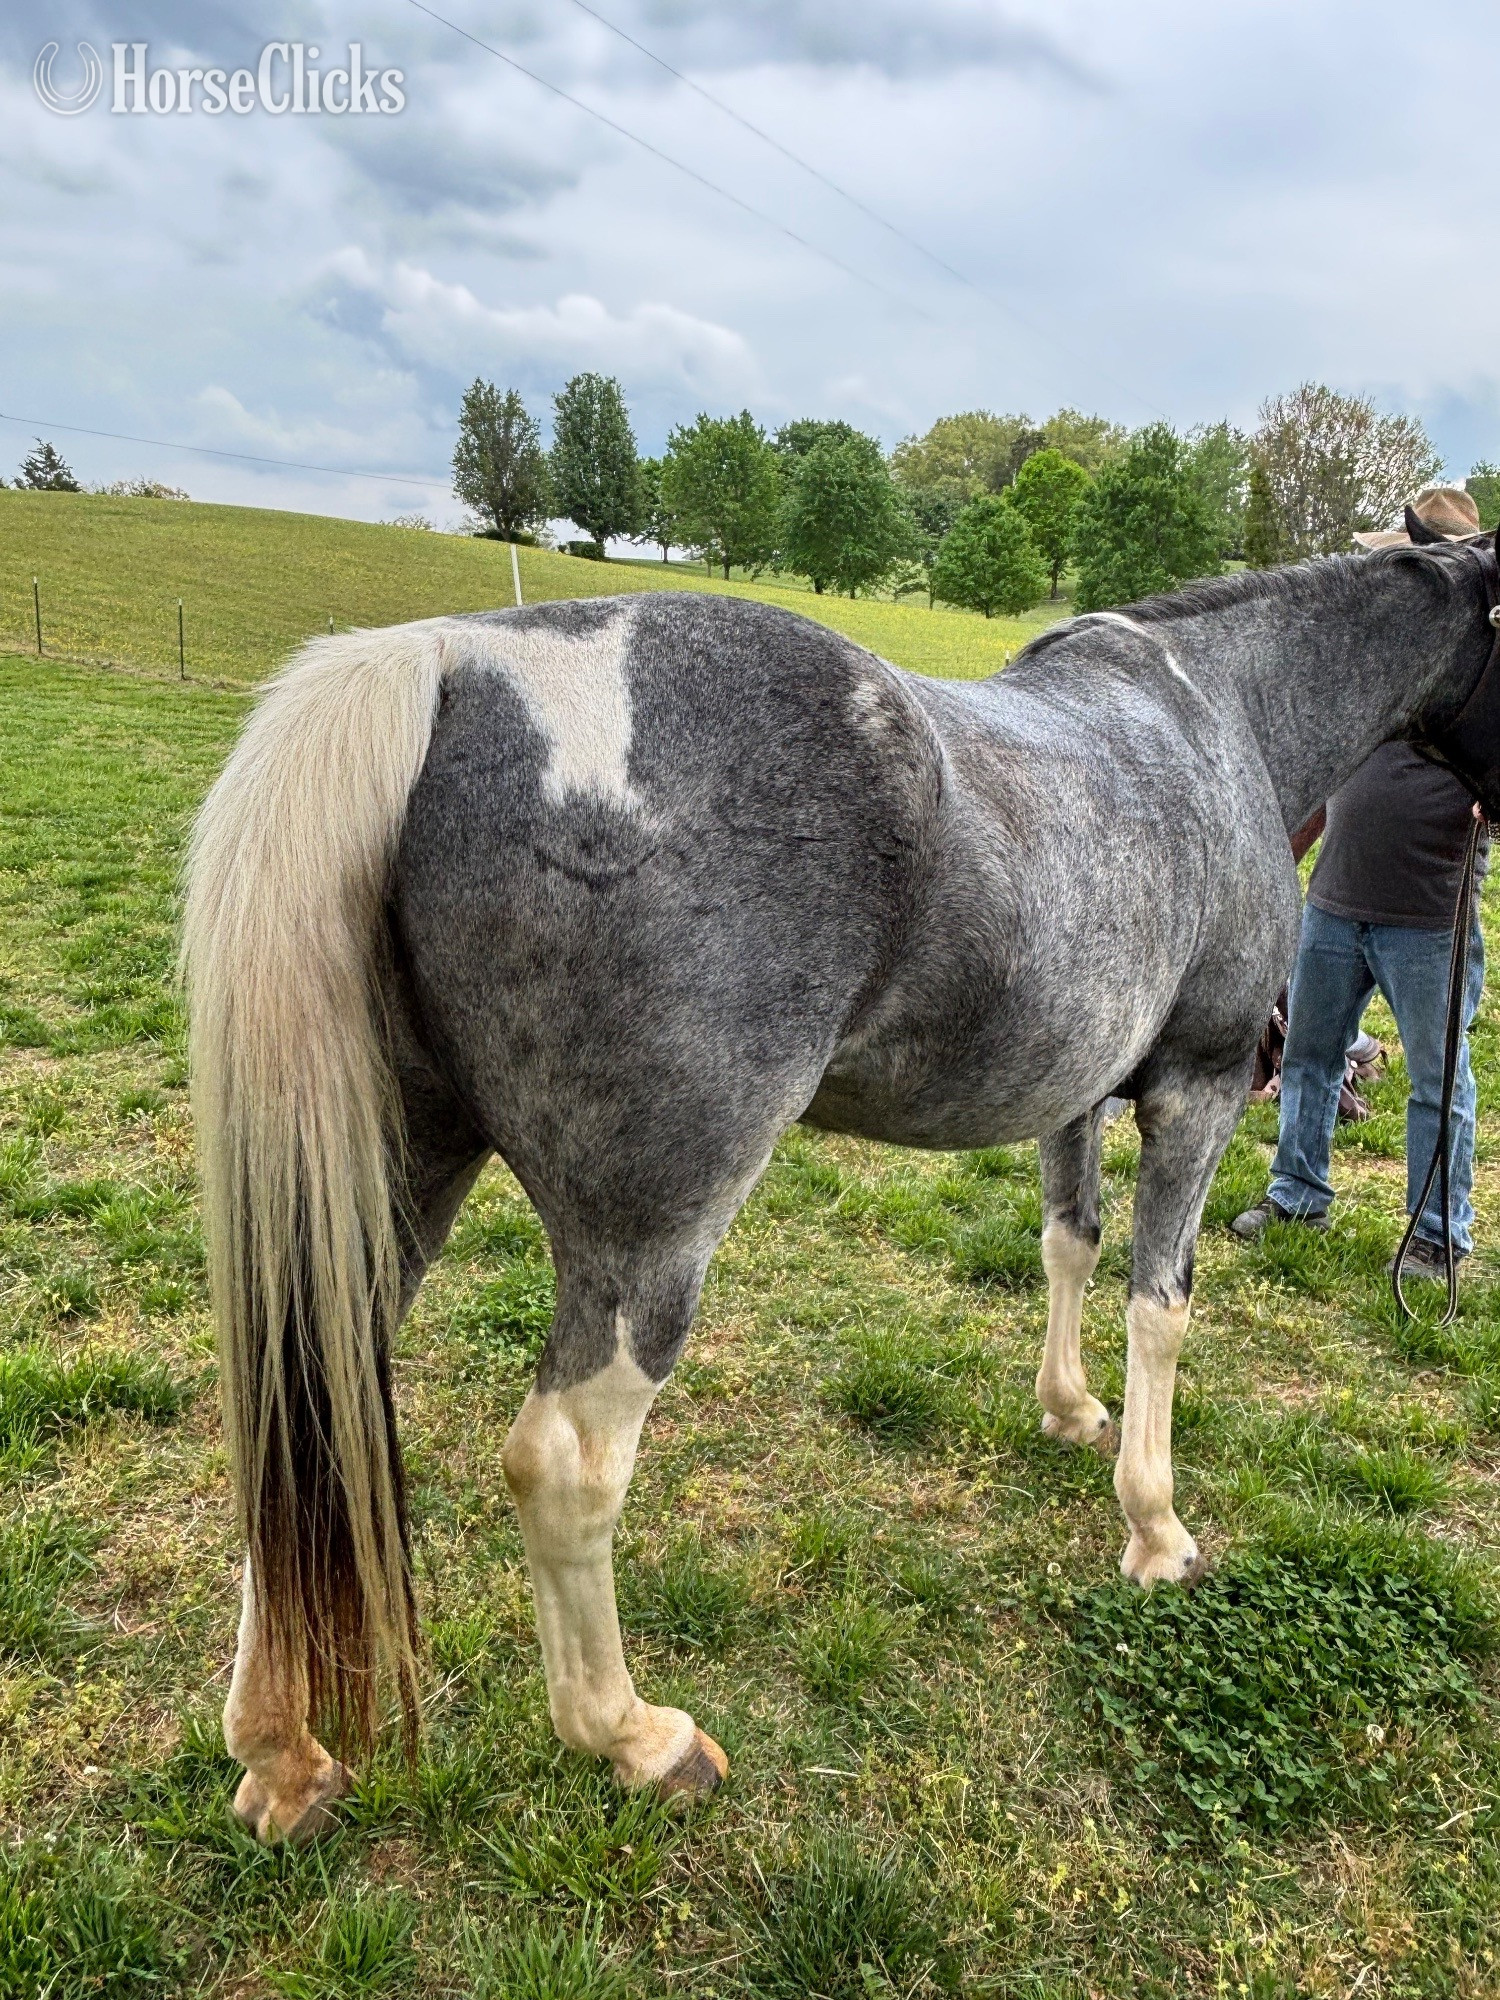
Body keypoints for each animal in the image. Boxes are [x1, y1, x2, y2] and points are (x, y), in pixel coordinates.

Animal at [182, 520, 1500, 1841]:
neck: (1220, 709)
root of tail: (451, 659)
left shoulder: (1077, 1092)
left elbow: (1067, 1242)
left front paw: (1070, 1407)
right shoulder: (1201, 1088)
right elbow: (1159, 1304)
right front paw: (1157, 1529)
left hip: (391, 1186)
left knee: (305, 1410)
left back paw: (283, 1755)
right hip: (646, 1240)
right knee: (563, 1463)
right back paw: (635, 1735)